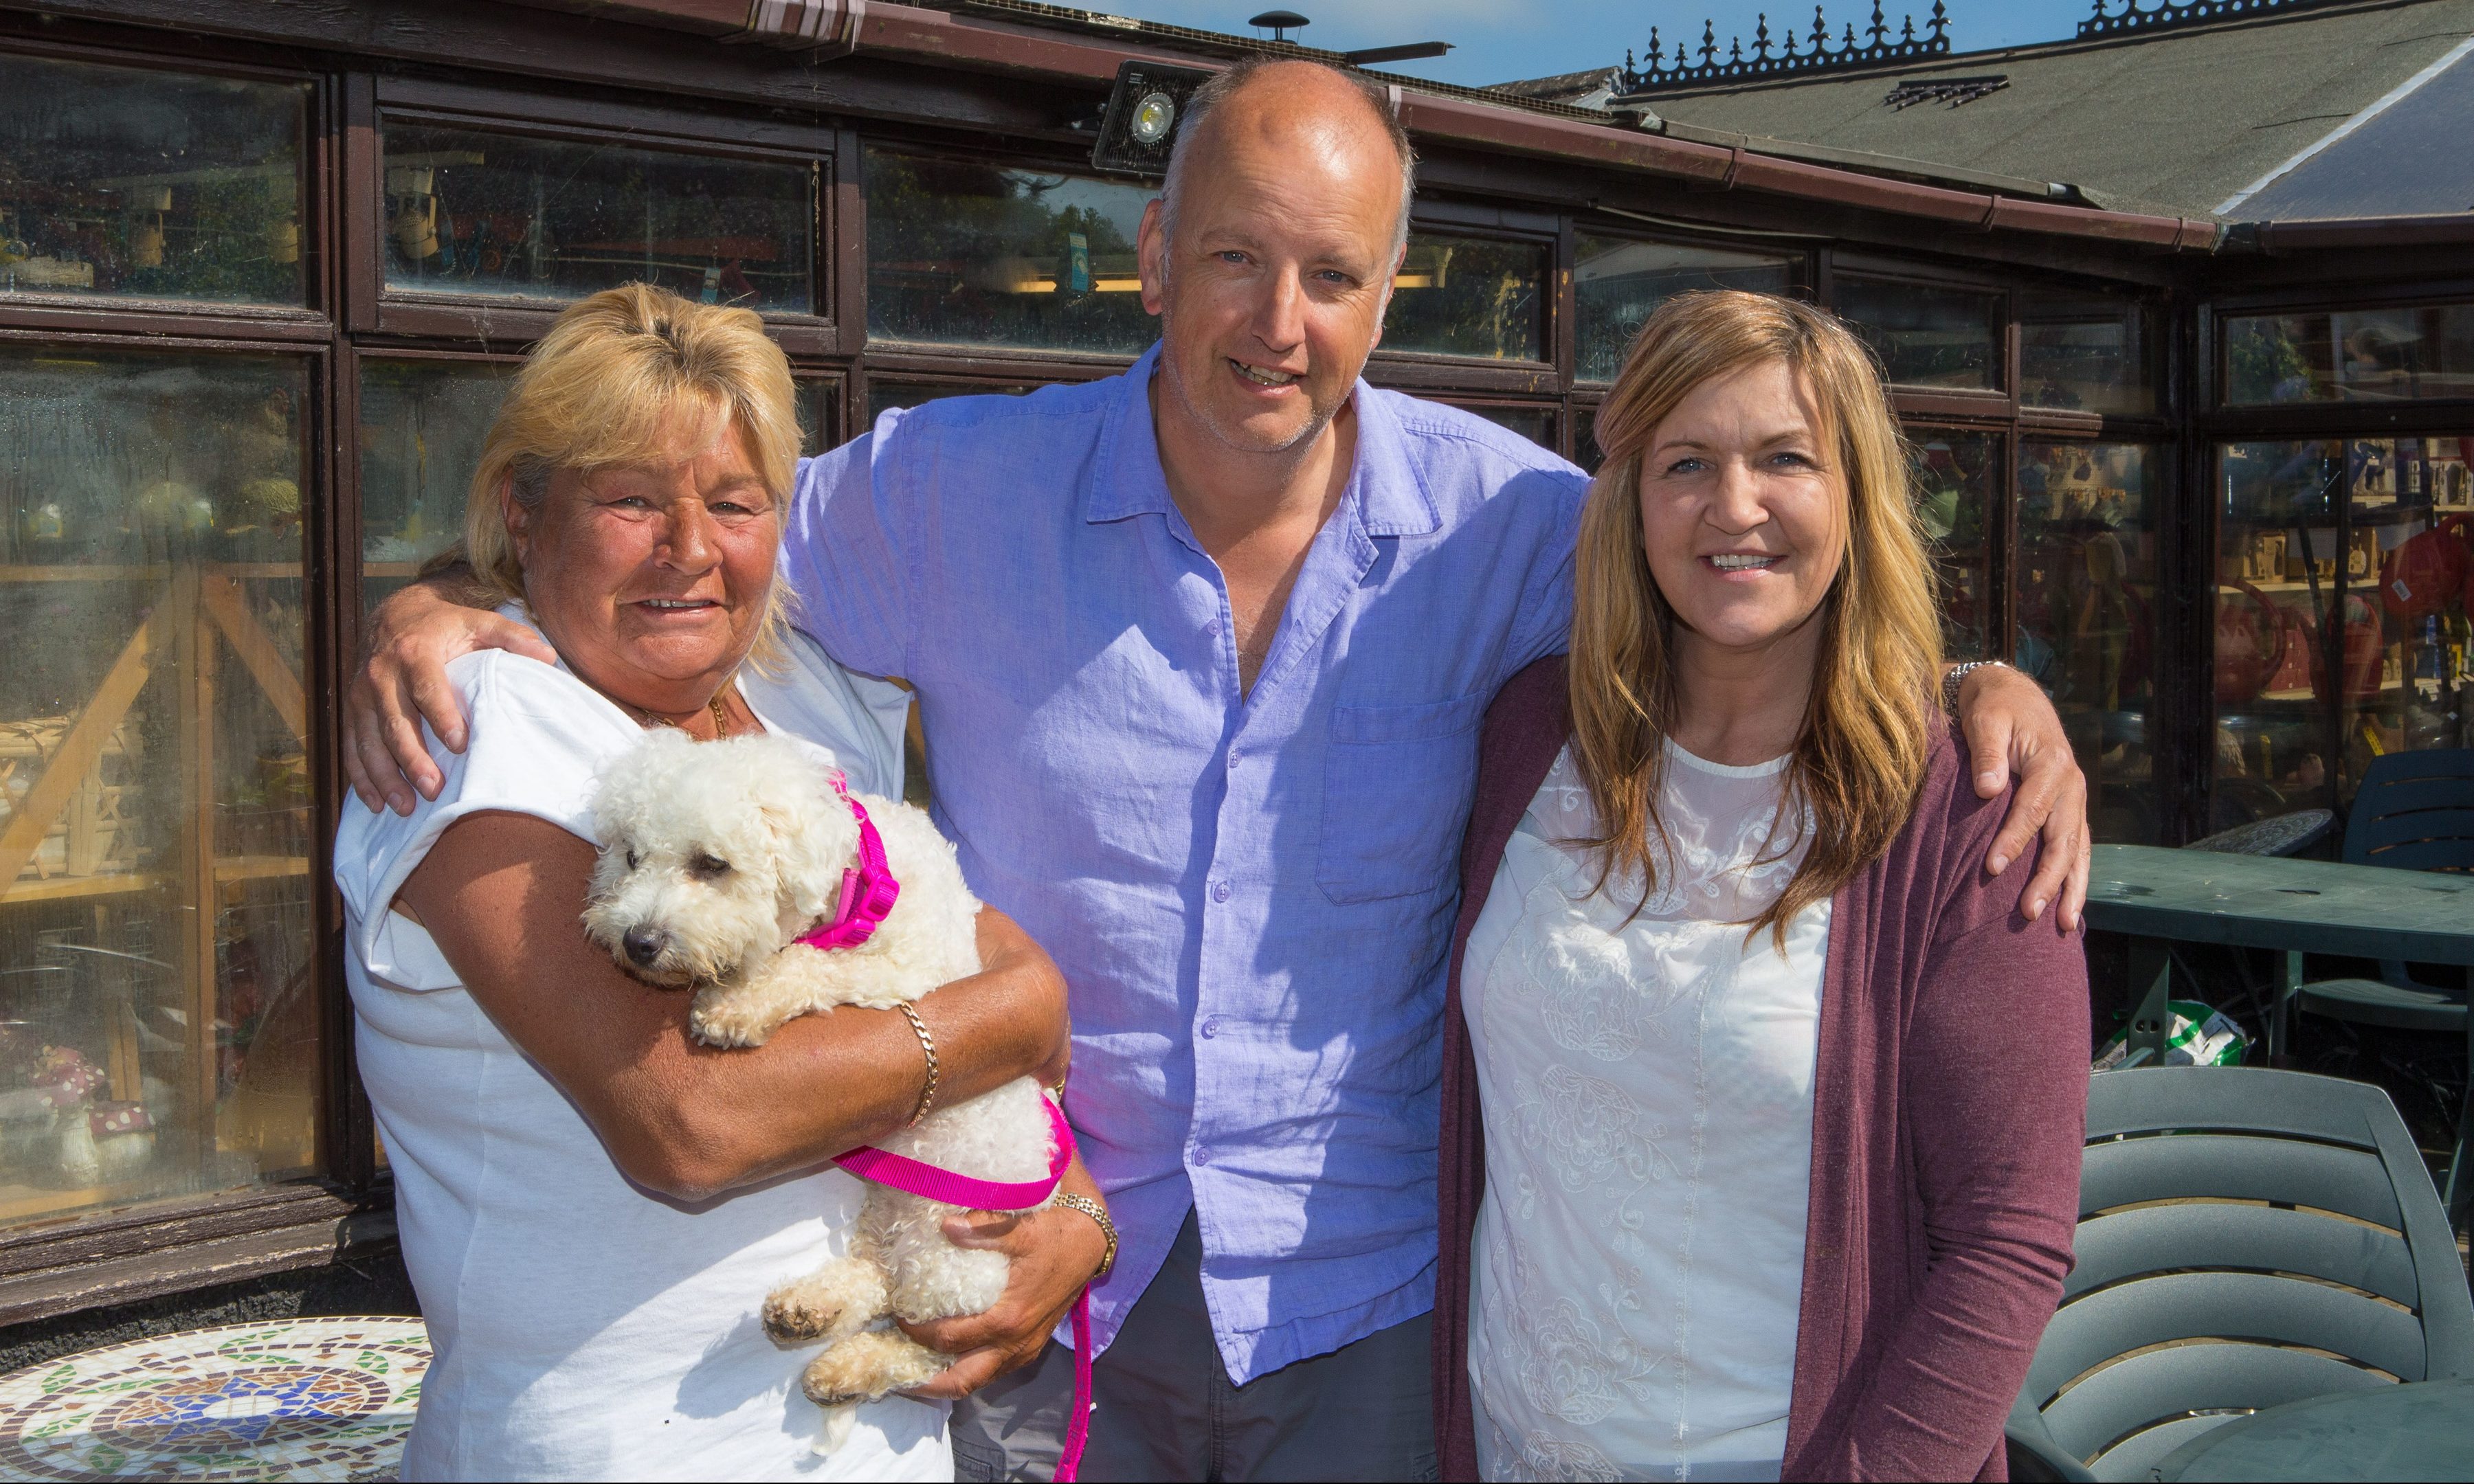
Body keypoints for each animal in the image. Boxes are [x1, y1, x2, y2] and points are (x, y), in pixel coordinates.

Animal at [583, 732, 1058, 1444]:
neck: (864, 883)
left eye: (712, 864)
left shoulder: (908, 970)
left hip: (949, 1254)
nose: (638, 942)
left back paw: (854, 1364)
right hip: (890, 1220)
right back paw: (812, 1310)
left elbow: (808, 964)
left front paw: (738, 1006)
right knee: (874, 1277)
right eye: (632, 857)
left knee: (931, 1342)